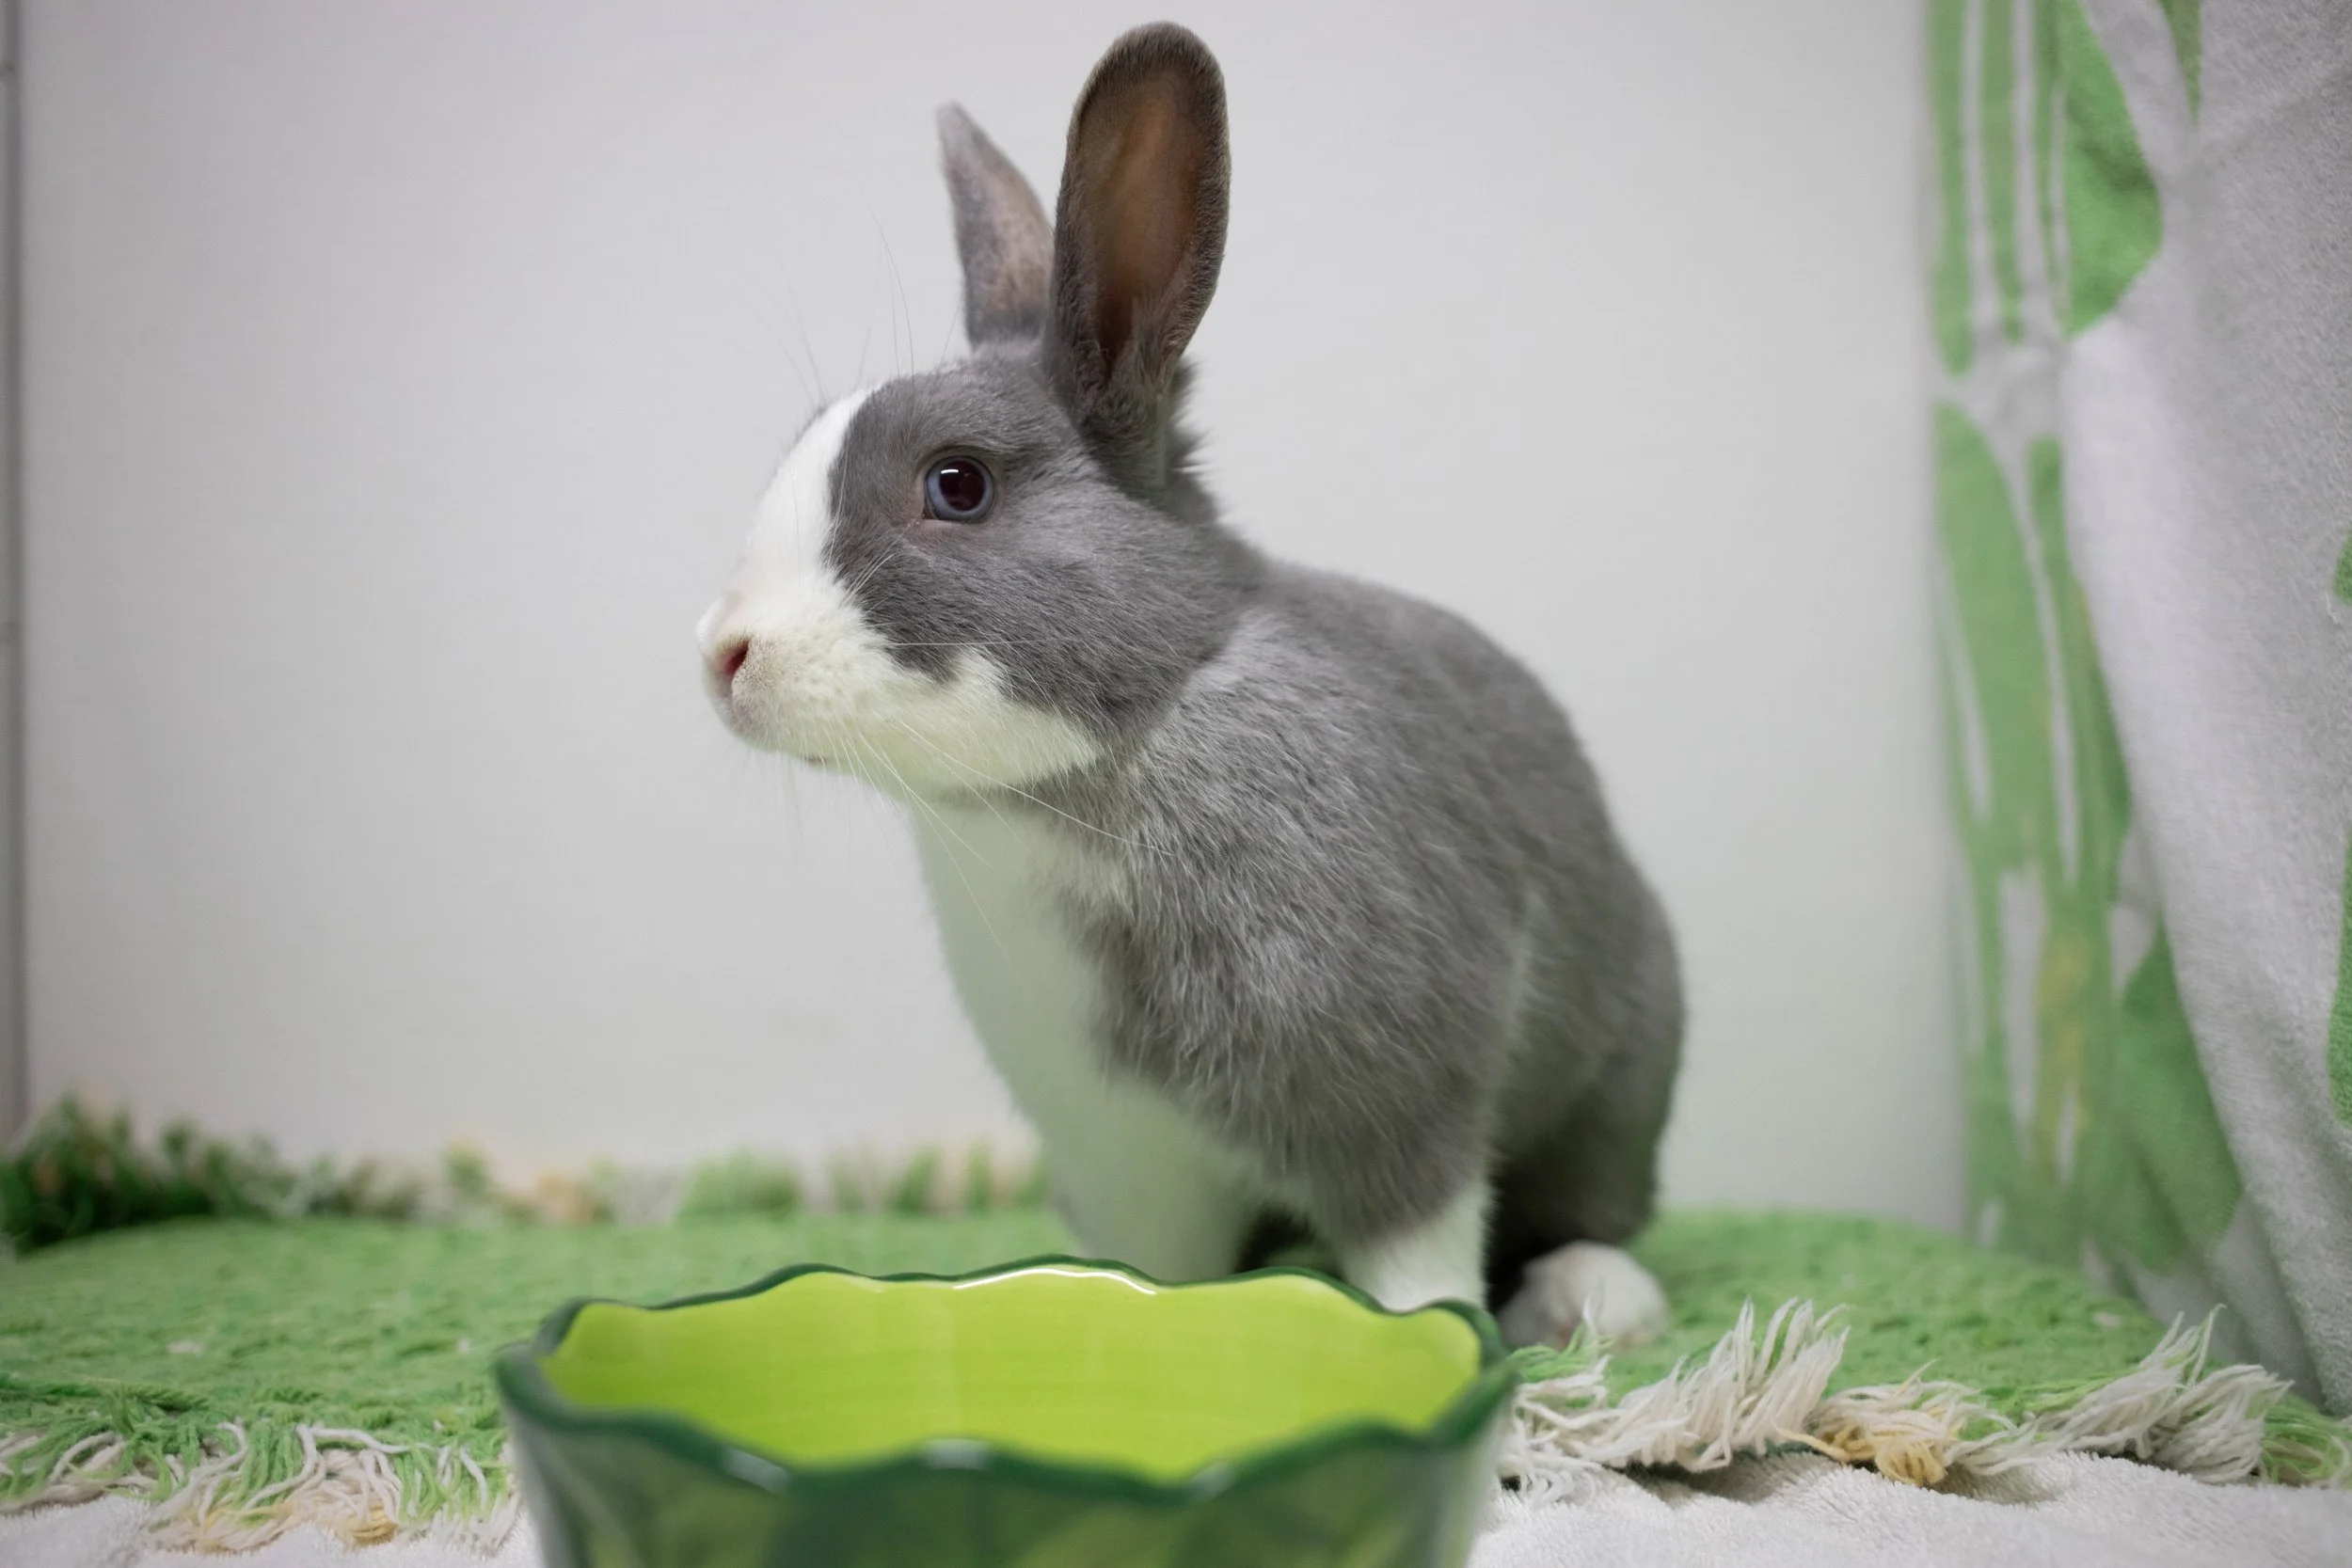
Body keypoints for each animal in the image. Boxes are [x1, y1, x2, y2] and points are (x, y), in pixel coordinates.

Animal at [697, 22, 1683, 1348]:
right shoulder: (1133, 1162)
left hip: (1616, 1076)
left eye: (957, 485)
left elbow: (1417, 1253)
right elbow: (1158, 1269)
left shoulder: (1400, 1102)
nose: (722, 653)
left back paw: (1595, 1298)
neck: (1111, 756)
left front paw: (1439, 1345)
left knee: (1583, 1205)